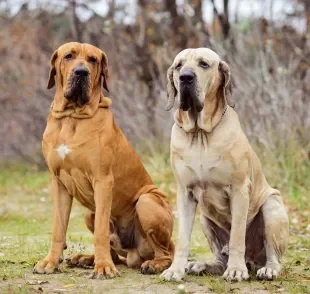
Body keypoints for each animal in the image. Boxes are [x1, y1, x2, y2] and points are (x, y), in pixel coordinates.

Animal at [34, 42, 176, 280]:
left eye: (93, 60)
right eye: (68, 56)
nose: (81, 72)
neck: (72, 116)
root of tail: (133, 253)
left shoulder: (102, 181)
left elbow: (100, 232)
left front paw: (103, 267)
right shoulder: (59, 183)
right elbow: (58, 228)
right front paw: (51, 262)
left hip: (147, 201)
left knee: (167, 253)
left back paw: (153, 265)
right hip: (89, 213)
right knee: (116, 253)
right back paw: (85, 259)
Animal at [161, 48, 290, 282]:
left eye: (204, 64)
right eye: (178, 66)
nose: (185, 77)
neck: (200, 134)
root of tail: (253, 261)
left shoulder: (239, 190)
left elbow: (237, 236)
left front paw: (236, 269)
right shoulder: (184, 193)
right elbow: (183, 238)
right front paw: (175, 269)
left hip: (272, 206)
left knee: (272, 255)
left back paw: (267, 269)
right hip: (205, 219)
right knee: (220, 258)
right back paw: (201, 265)